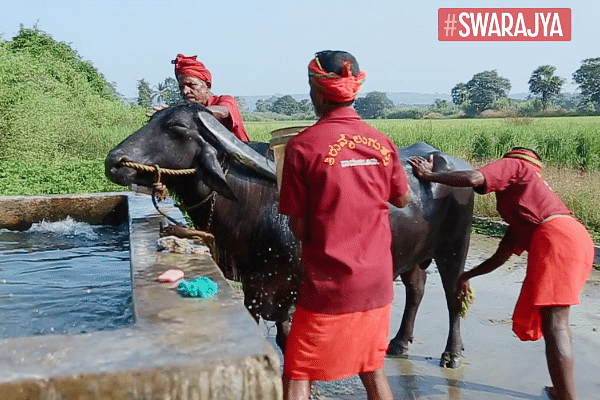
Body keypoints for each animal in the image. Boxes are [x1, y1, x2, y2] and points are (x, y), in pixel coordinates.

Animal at [106, 103, 474, 368]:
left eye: (177, 127)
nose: (114, 160)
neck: (252, 202)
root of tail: (451, 162)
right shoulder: (256, 285)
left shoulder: (295, 289)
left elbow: (292, 341)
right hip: (413, 253)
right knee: (416, 289)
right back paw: (398, 343)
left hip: (454, 248)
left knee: (452, 297)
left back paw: (452, 354)